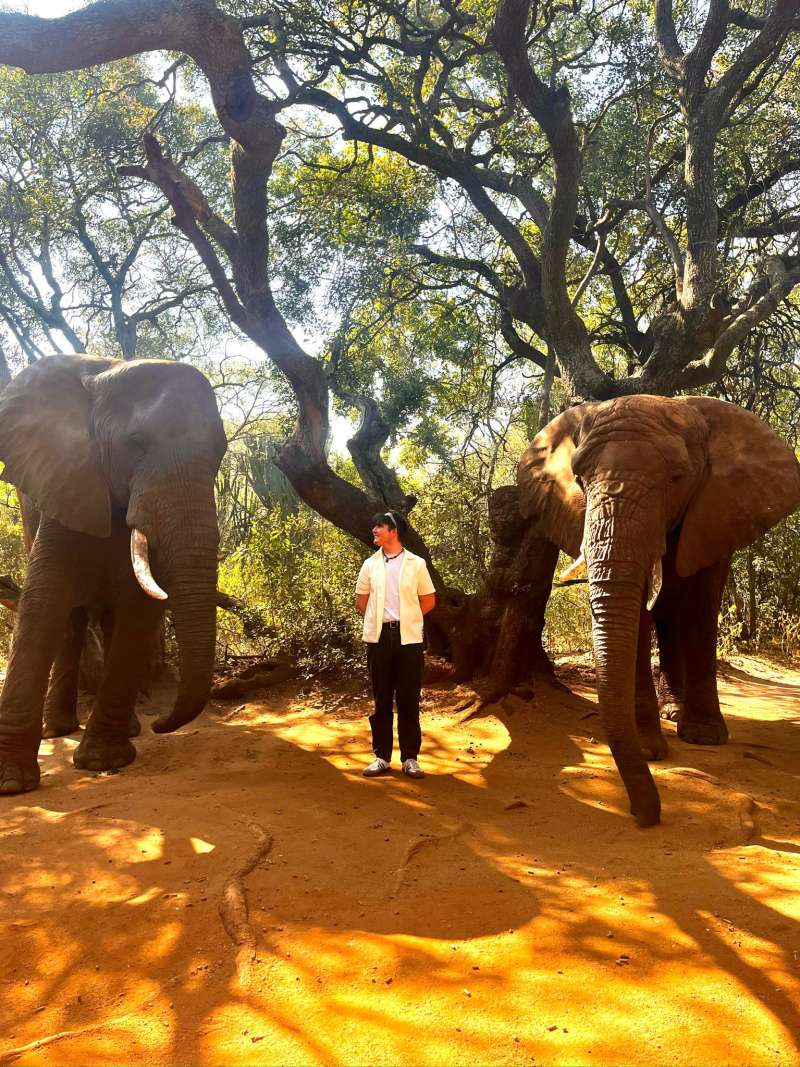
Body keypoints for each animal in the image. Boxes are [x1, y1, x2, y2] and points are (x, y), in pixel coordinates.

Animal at [0, 354, 227, 795]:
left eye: (220, 452)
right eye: (136, 443)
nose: (163, 724)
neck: (105, 372)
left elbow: (138, 612)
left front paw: (102, 761)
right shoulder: (67, 479)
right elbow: (42, 603)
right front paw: (11, 784)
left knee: (108, 619)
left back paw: (129, 729)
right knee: (70, 622)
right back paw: (58, 730)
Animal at [519, 394, 800, 827]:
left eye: (676, 479)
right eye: (580, 478)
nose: (642, 813)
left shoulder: (718, 506)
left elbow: (700, 600)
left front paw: (704, 739)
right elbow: (639, 611)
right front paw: (651, 750)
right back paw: (670, 712)